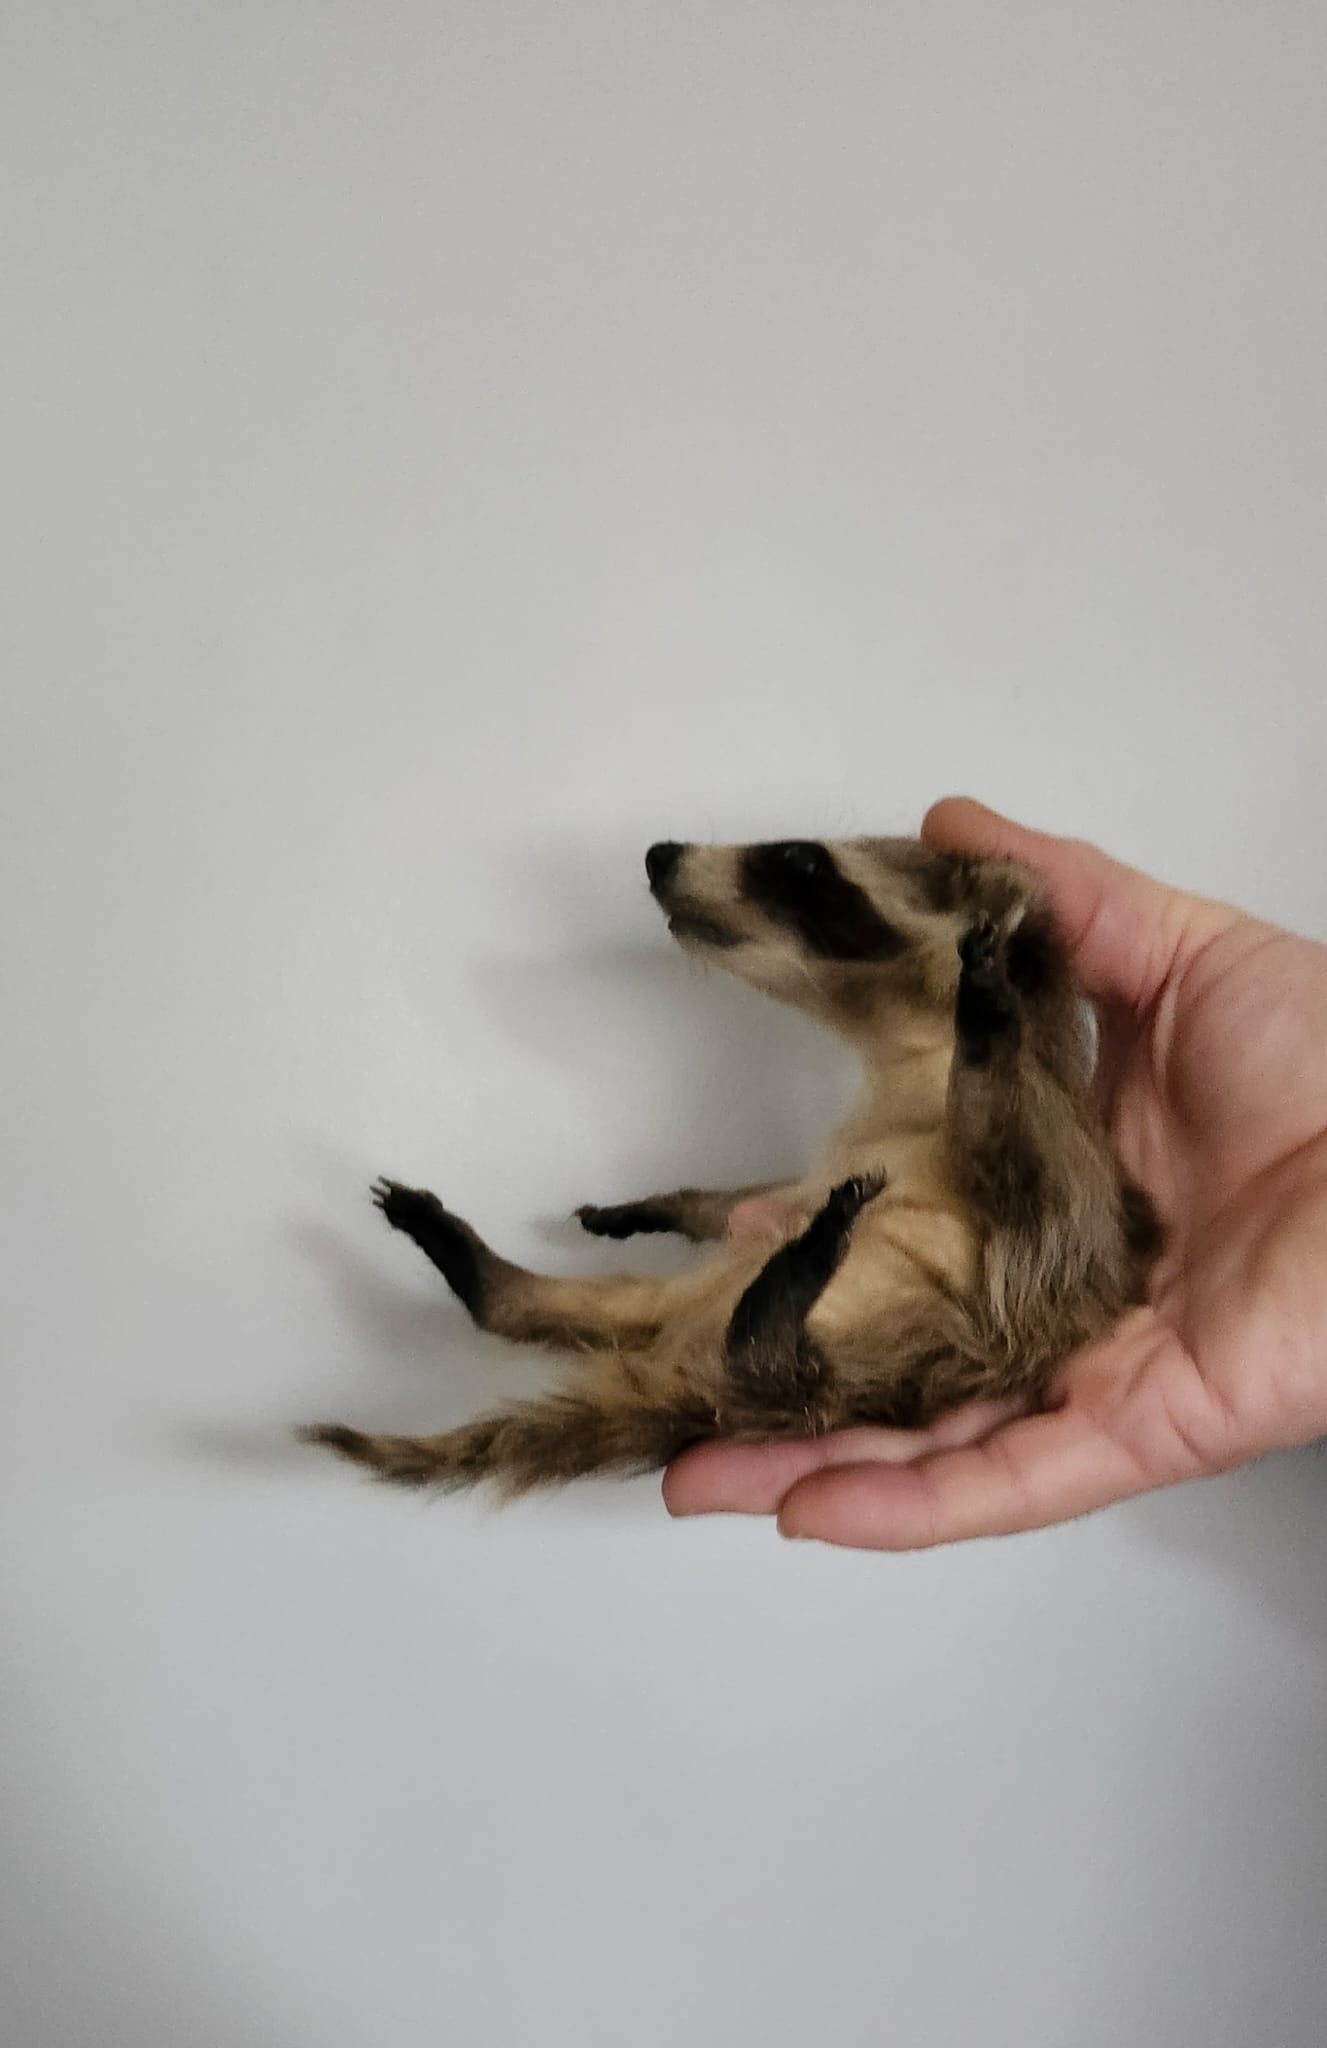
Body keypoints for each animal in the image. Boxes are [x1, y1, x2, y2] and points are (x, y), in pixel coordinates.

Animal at [301, 835, 1162, 1495]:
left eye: (800, 859)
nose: (659, 852)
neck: (903, 1058)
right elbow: (752, 1197)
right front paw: (668, 1202)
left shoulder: (1058, 1181)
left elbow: (1010, 1155)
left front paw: (988, 1021)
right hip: (674, 1310)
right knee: (539, 1309)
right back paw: (484, 1271)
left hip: (913, 1355)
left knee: (788, 1374)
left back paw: (779, 1306)